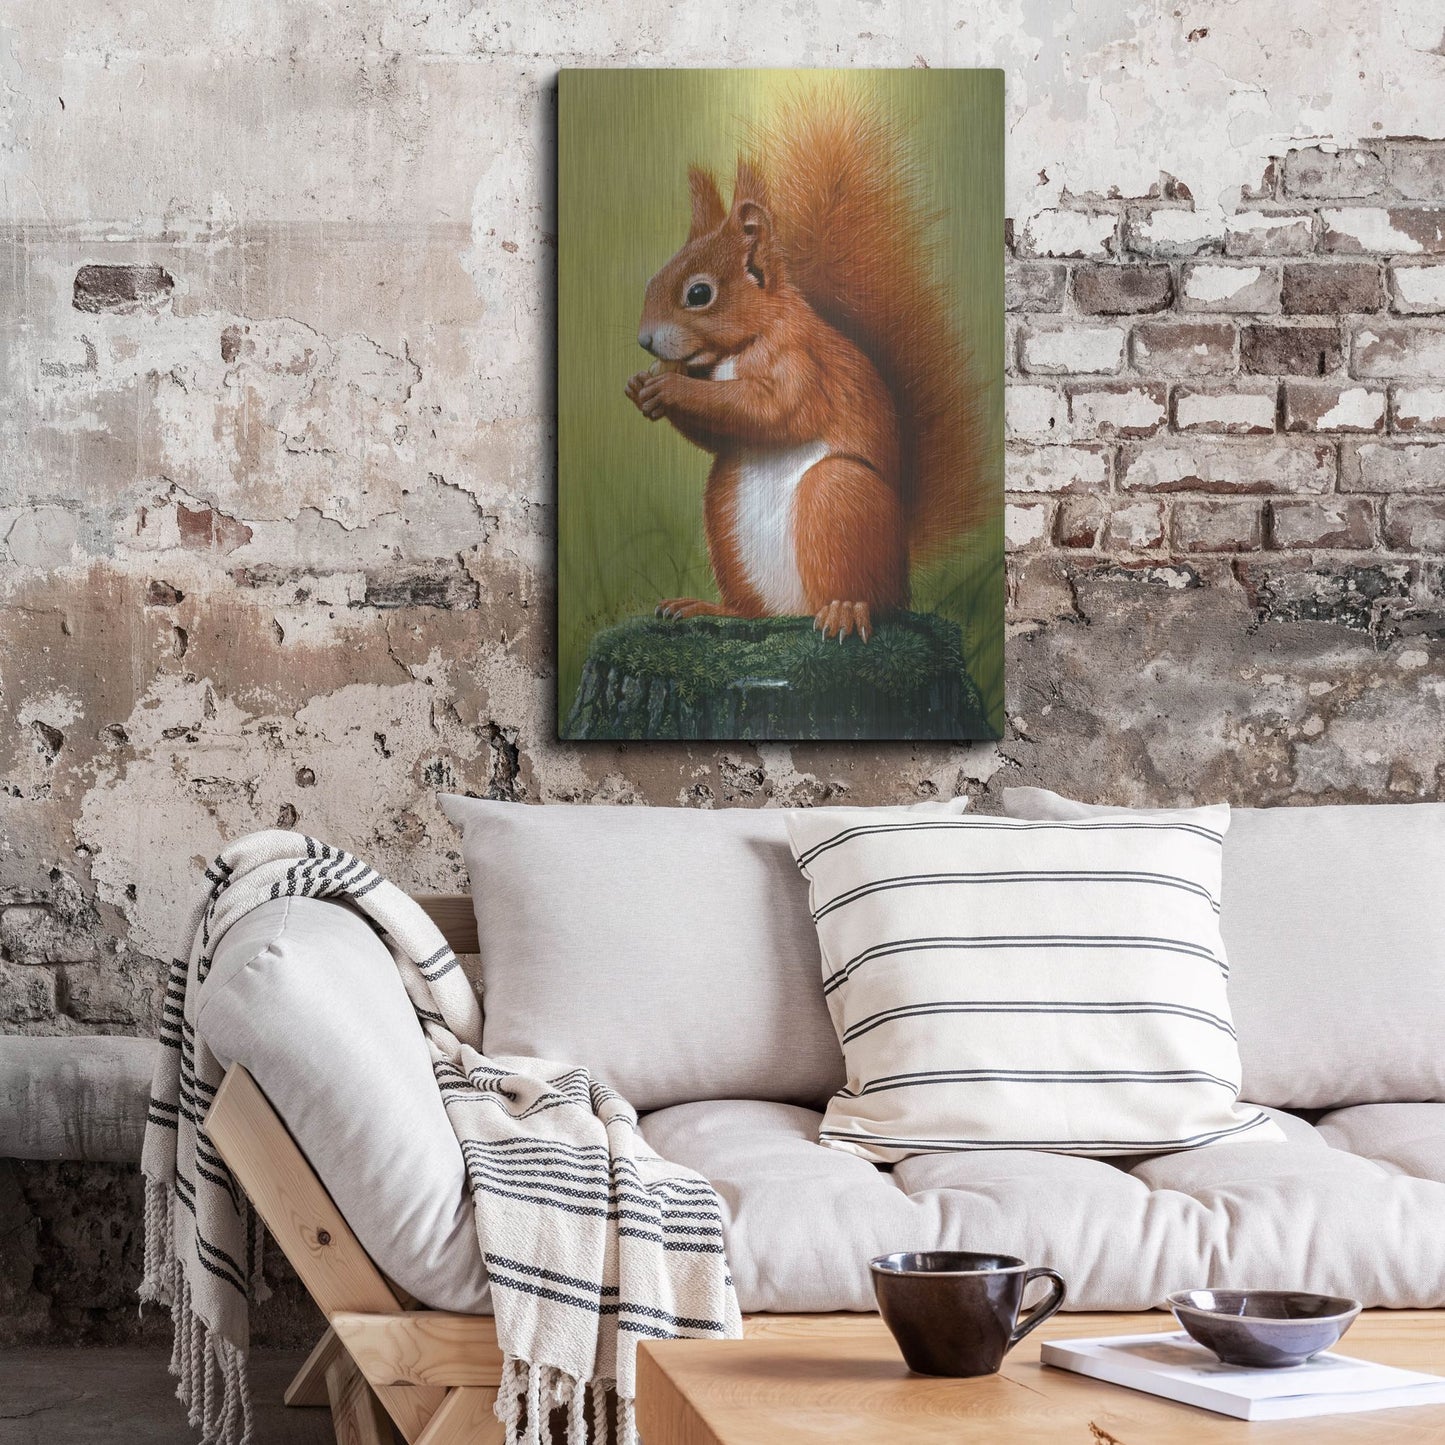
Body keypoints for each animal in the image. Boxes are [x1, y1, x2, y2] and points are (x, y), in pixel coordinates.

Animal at [626, 89, 986, 643]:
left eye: (699, 294)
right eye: (652, 279)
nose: (645, 341)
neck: (740, 347)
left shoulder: (801, 364)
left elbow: (774, 411)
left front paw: (670, 388)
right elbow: (720, 433)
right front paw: (644, 387)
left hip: (838, 497)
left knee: (868, 597)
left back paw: (846, 611)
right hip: (723, 513)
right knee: (755, 611)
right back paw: (709, 608)